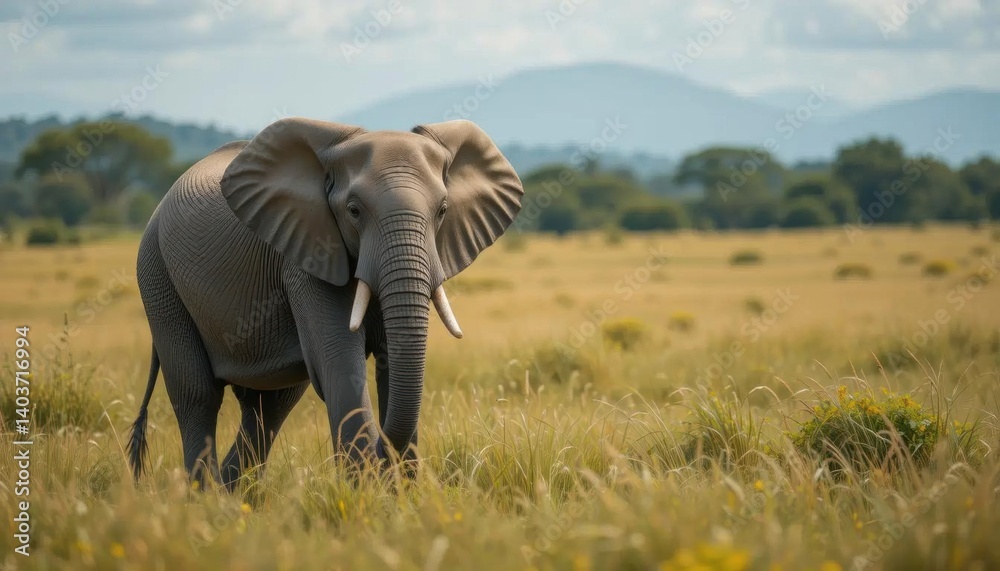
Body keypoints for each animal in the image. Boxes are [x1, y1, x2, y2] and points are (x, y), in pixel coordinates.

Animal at [126, 117, 523, 488]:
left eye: (442, 210)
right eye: (353, 211)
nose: (383, 451)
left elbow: (391, 366)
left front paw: (399, 496)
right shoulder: (307, 258)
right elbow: (341, 367)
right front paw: (368, 495)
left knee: (267, 408)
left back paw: (233, 498)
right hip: (157, 276)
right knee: (197, 395)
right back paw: (205, 499)